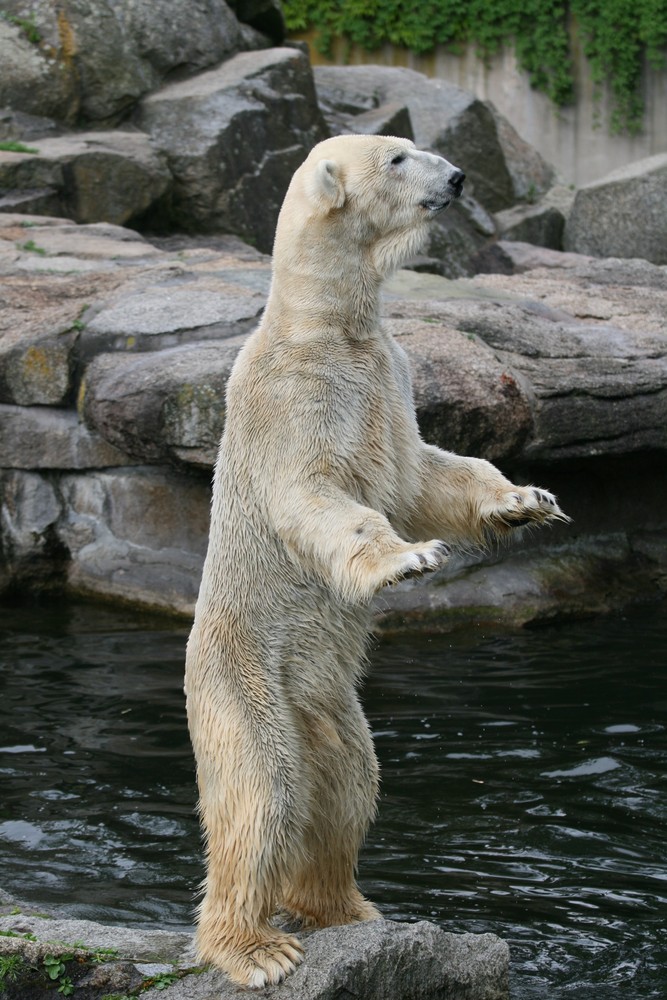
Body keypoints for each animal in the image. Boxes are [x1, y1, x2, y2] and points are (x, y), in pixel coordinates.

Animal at [184, 131, 568, 984]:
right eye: (397, 157)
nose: (456, 176)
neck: (326, 326)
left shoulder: (387, 377)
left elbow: (423, 471)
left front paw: (523, 500)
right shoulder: (295, 396)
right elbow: (315, 495)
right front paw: (405, 561)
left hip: (328, 707)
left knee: (346, 789)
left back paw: (348, 905)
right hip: (244, 678)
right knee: (261, 794)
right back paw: (254, 947)